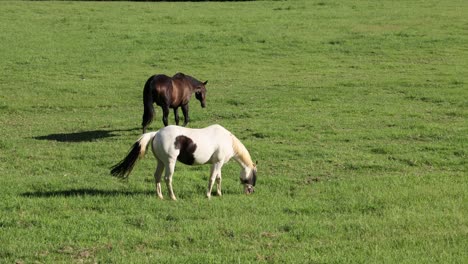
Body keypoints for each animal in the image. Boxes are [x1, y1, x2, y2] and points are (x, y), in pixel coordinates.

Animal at [109, 125, 256, 199]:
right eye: (254, 176)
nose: (250, 191)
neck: (228, 141)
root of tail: (156, 133)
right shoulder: (217, 163)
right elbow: (212, 179)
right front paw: (208, 195)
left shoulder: (216, 164)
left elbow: (218, 178)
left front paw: (219, 194)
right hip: (170, 162)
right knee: (167, 178)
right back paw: (173, 197)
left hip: (160, 162)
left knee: (157, 177)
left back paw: (160, 195)